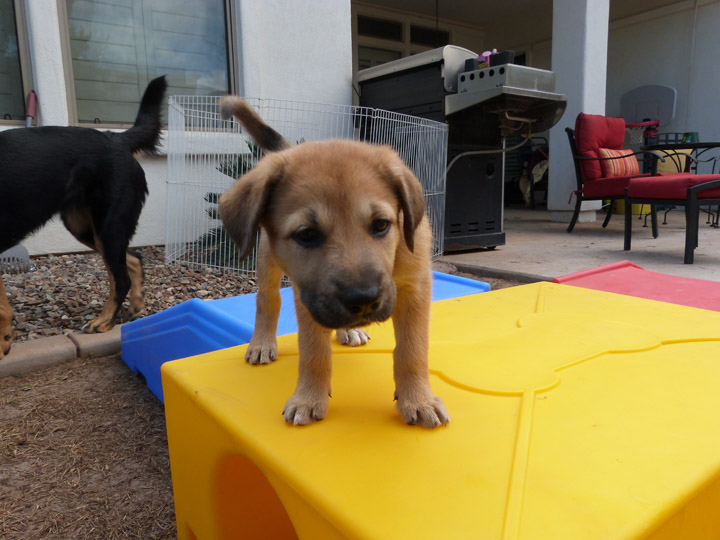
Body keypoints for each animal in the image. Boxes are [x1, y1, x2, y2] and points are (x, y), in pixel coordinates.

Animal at [0, 76, 166, 360]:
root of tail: (115, 139)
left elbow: (1, 308)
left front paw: (2, 343)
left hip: (107, 228)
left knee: (121, 277)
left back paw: (105, 320)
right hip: (86, 228)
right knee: (133, 260)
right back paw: (134, 305)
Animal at [218, 96, 450, 426]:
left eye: (381, 225)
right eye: (306, 234)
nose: (363, 301)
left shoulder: (415, 289)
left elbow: (412, 351)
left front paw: (419, 400)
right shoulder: (308, 297)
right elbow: (313, 351)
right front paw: (308, 398)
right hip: (267, 260)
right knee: (267, 299)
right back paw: (262, 342)